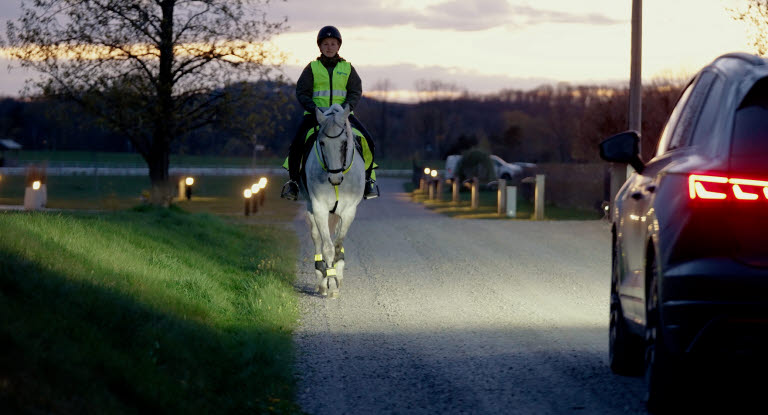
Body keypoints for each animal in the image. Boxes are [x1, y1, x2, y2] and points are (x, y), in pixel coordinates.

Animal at [300, 105, 366, 300]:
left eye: (344, 143)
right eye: (321, 143)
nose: (335, 178)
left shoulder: (349, 211)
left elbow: (337, 245)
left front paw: (337, 279)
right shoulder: (319, 208)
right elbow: (327, 247)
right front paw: (328, 282)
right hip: (310, 207)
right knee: (317, 238)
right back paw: (321, 279)